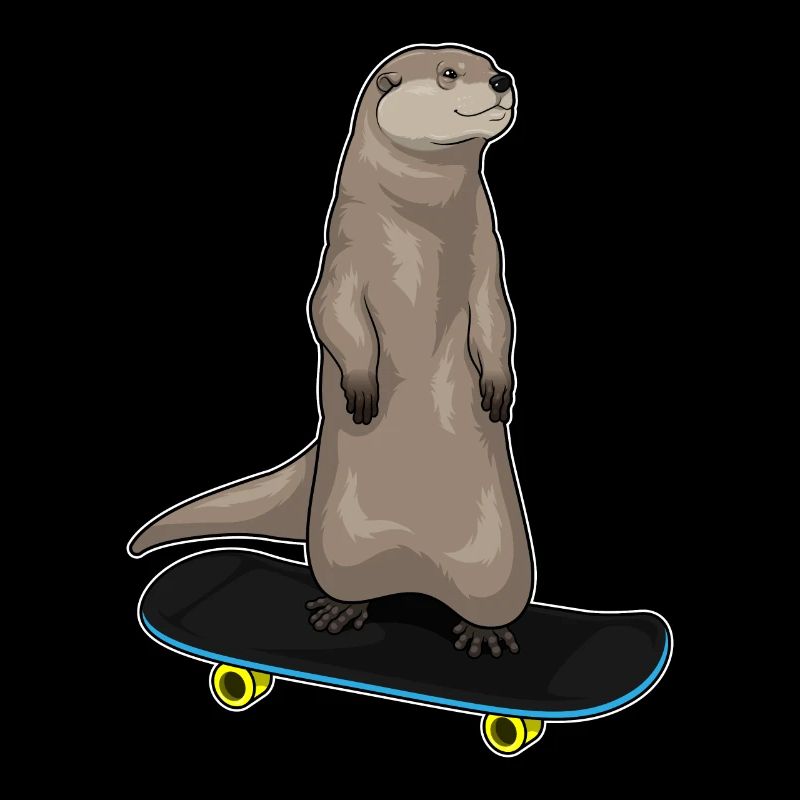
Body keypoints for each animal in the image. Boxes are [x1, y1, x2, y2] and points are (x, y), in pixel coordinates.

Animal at [129, 44, 534, 658]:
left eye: (488, 64)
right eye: (449, 73)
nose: (501, 79)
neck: (424, 224)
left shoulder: (488, 253)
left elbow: (495, 317)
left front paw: (498, 388)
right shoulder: (346, 248)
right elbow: (330, 313)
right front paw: (362, 387)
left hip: (503, 562)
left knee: (491, 597)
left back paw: (484, 632)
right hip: (336, 543)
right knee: (349, 582)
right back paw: (341, 610)